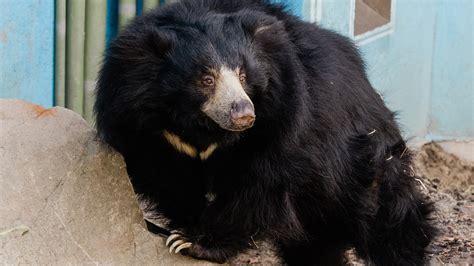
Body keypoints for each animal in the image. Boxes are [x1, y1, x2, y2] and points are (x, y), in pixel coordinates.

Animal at [93, 0, 436, 264]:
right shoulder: (141, 123)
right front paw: (184, 228)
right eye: (206, 79)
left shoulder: (281, 119)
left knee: (391, 217)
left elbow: (259, 185)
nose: (244, 114)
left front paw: (197, 242)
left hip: (361, 157)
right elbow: (167, 175)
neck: (202, 127)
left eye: (244, 75)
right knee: (317, 239)